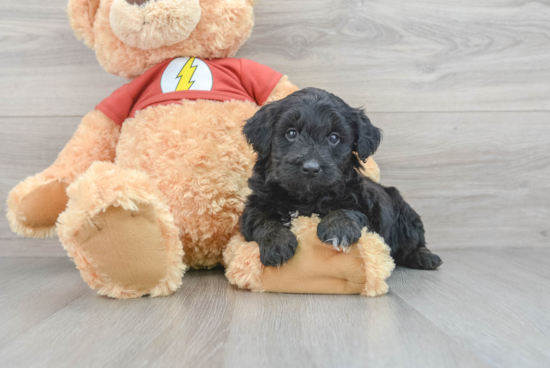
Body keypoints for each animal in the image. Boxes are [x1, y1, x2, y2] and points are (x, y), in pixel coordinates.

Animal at [242, 87, 444, 268]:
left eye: (334, 138)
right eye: (291, 133)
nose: (311, 168)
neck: (305, 199)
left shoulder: (365, 207)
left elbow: (347, 210)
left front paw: (338, 228)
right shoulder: (256, 204)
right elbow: (261, 219)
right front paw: (277, 243)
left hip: (406, 218)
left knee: (414, 241)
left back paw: (425, 257)